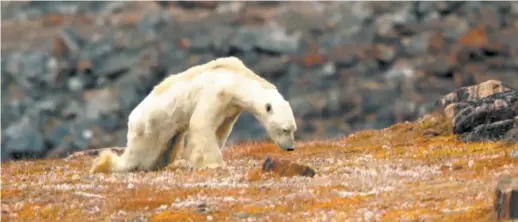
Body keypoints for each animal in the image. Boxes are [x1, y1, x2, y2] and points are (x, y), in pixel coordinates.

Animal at [91, 56, 298, 173]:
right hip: (150, 127)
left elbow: (220, 130)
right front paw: (213, 164)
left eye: (293, 129)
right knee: (138, 156)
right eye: (285, 129)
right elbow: (201, 123)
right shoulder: (217, 92)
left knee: (162, 155)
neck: (236, 78)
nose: (290, 148)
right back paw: (103, 164)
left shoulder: (231, 107)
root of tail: (132, 119)